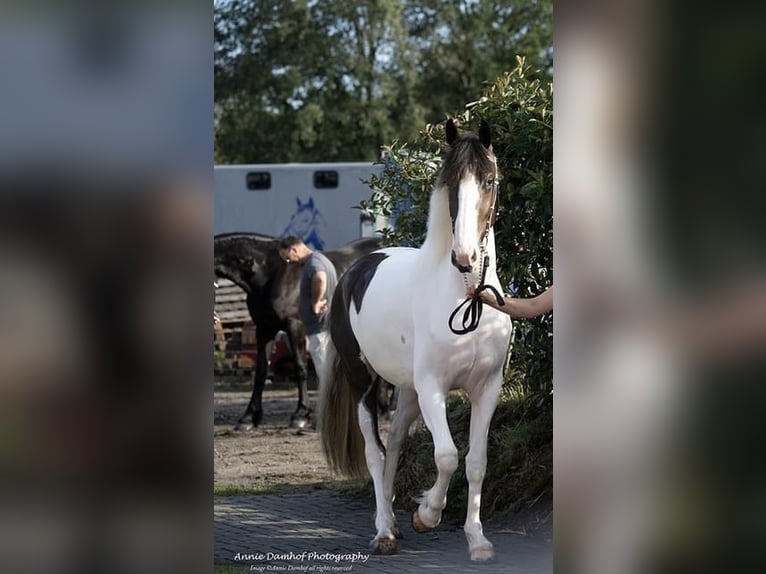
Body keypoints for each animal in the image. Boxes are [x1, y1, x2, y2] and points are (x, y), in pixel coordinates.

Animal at [214, 232, 382, 430]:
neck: (270, 274)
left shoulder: (294, 326)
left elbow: (300, 368)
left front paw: (300, 415)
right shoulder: (264, 329)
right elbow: (261, 371)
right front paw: (248, 417)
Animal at [320, 120, 512, 564]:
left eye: (489, 181)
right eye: (452, 184)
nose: (464, 256)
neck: (465, 298)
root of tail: (354, 269)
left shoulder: (487, 388)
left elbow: (476, 462)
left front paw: (477, 540)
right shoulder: (433, 389)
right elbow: (446, 456)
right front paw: (427, 514)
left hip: (406, 392)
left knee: (393, 447)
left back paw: (392, 523)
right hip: (366, 383)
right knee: (375, 454)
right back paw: (383, 532)